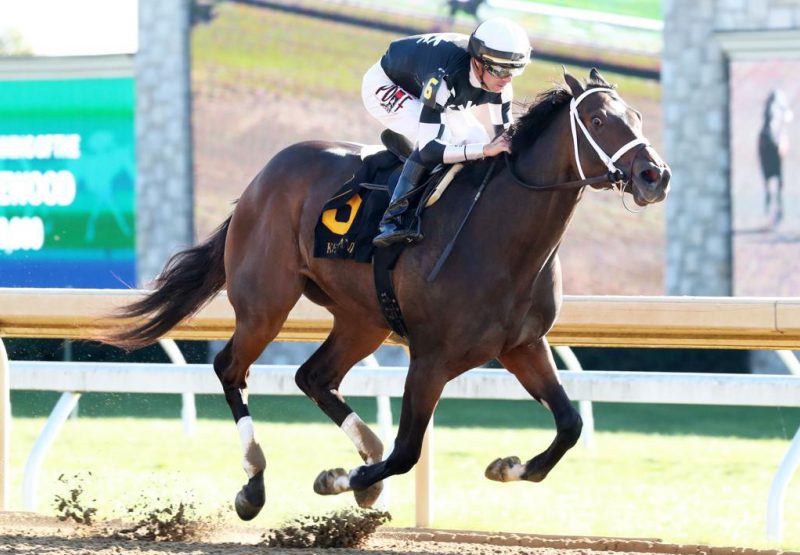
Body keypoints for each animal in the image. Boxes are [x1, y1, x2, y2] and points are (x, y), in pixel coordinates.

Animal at [104, 69, 668, 520]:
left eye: (637, 115)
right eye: (597, 119)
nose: (654, 175)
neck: (502, 236)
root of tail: (262, 177)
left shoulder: (522, 346)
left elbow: (570, 423)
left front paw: (507, 466)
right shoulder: (431, 357)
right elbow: (406, 452)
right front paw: (338, 480)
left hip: (364, 319)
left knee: (314, 376)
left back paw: (359, 450)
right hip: (266, 303)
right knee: (230, 369)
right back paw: (255, 485)